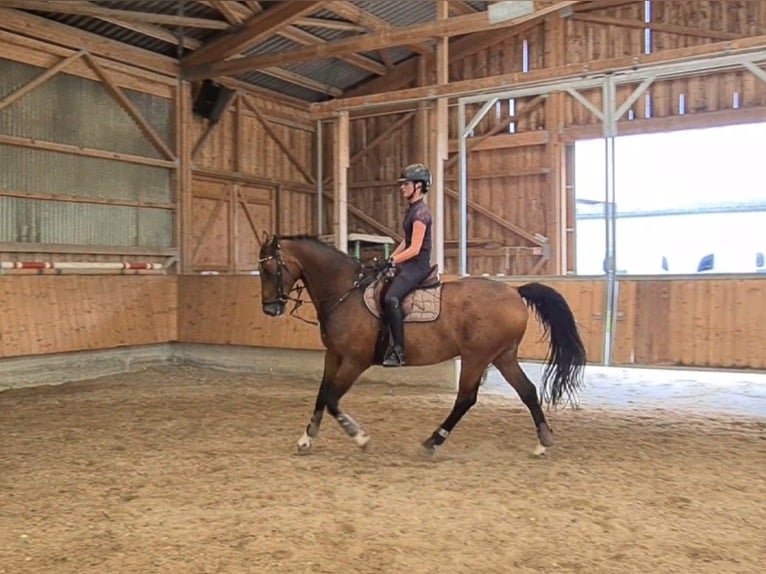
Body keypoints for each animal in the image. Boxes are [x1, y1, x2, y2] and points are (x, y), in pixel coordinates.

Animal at [258, 235, 588, 460]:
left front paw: (360, 437)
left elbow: (332, 399)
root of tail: (514, 291)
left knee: (466, 398)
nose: (270, 309)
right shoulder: (334, 355)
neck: (345, 292)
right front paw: (306, 439)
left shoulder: (354, 361)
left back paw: (432, 442)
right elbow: (321, 395)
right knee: (527, 391)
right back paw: (543, 441)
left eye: (270, 270)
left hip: (476, 357)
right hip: (502, 356)